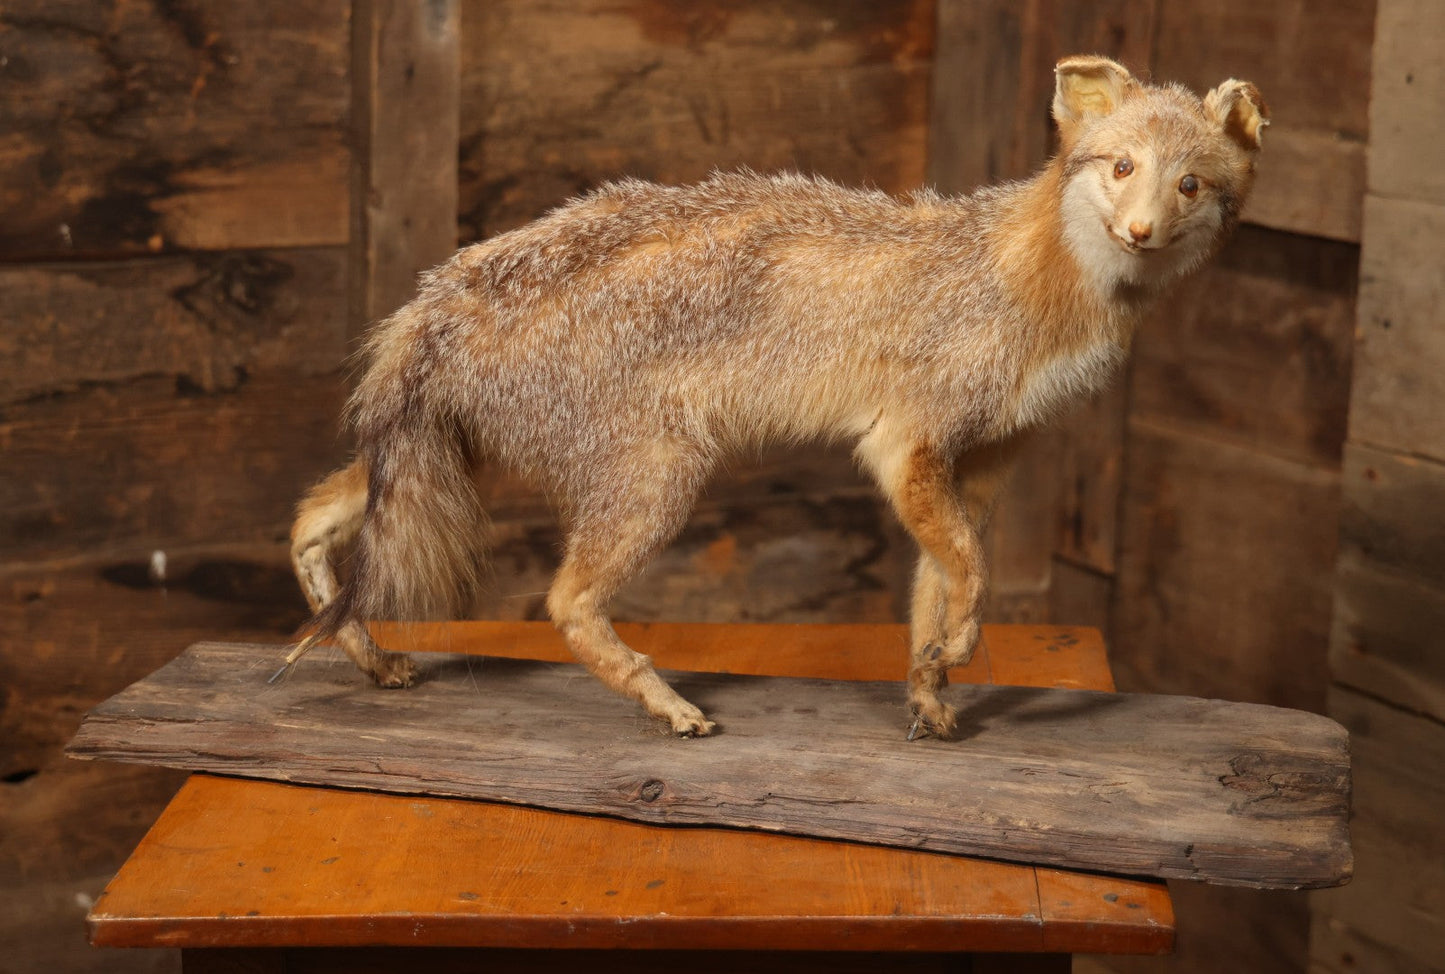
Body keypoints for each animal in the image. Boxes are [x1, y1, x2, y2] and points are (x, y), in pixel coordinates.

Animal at [287, 55, 1267, 739]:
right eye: (1121, 167)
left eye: (1188, 184)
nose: (1139, 231)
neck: (1033, 283)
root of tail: (441, 293)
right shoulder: (903, 447)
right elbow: (972, 576)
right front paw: (957, 649)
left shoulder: (978, 470)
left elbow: (939, 587)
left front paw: (930, 691)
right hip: (654, 481)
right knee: (562, 604)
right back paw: (665, 702)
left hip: (438, 467)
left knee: (309, 520)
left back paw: (365, 654)